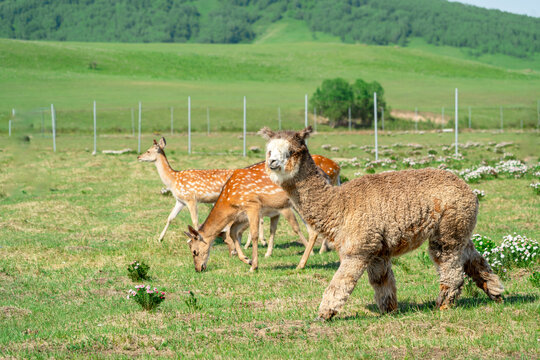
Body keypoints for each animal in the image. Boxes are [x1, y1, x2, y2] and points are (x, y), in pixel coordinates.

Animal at [184, 156, 340, 272]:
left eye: (194, 251)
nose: (198, 269)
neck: (229, 201)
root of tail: (326, 176)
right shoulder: (241, 215)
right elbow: (233, 232)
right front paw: (247, 260)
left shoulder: (253, 204)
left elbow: (254, 234)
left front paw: (254, 266)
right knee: (313, 230)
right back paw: (303, 263)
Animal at [260, 127, 504, 320]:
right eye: (269, 151)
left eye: (291, 151)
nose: (272, 163)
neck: (340, 205)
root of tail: (468, 188)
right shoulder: (377, 250)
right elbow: (382, 282)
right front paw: (389, 310)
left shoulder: (358, 249)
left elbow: (340, 283)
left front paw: (324, 314)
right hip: (461, 228)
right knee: (474, 259)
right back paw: (496, 293)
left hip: (447, 229)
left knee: (450, 267)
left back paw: (444, 305)